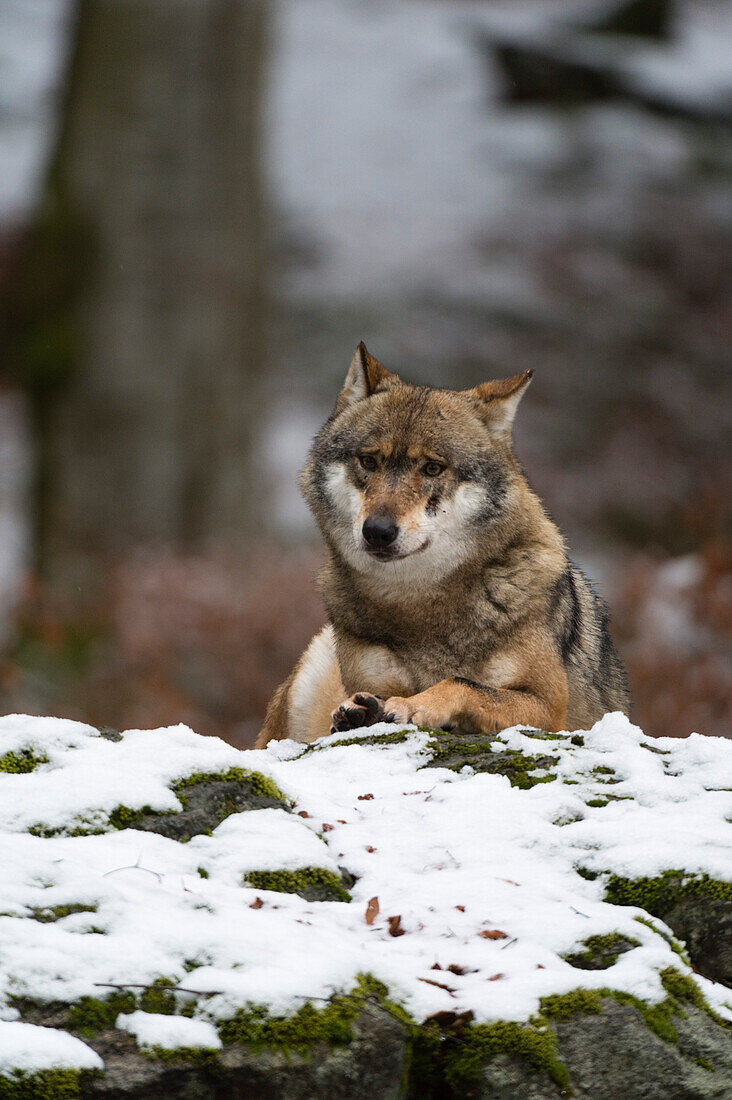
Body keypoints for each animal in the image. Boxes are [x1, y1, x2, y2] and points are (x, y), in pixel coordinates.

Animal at [255, 338, 629, 743]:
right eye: (369, 462)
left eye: (432, 468)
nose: (378, 530)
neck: (419, 602)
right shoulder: (372, 678)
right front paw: (368, 711)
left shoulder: (548, 707)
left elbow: (459, 683)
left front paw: (410, 706)